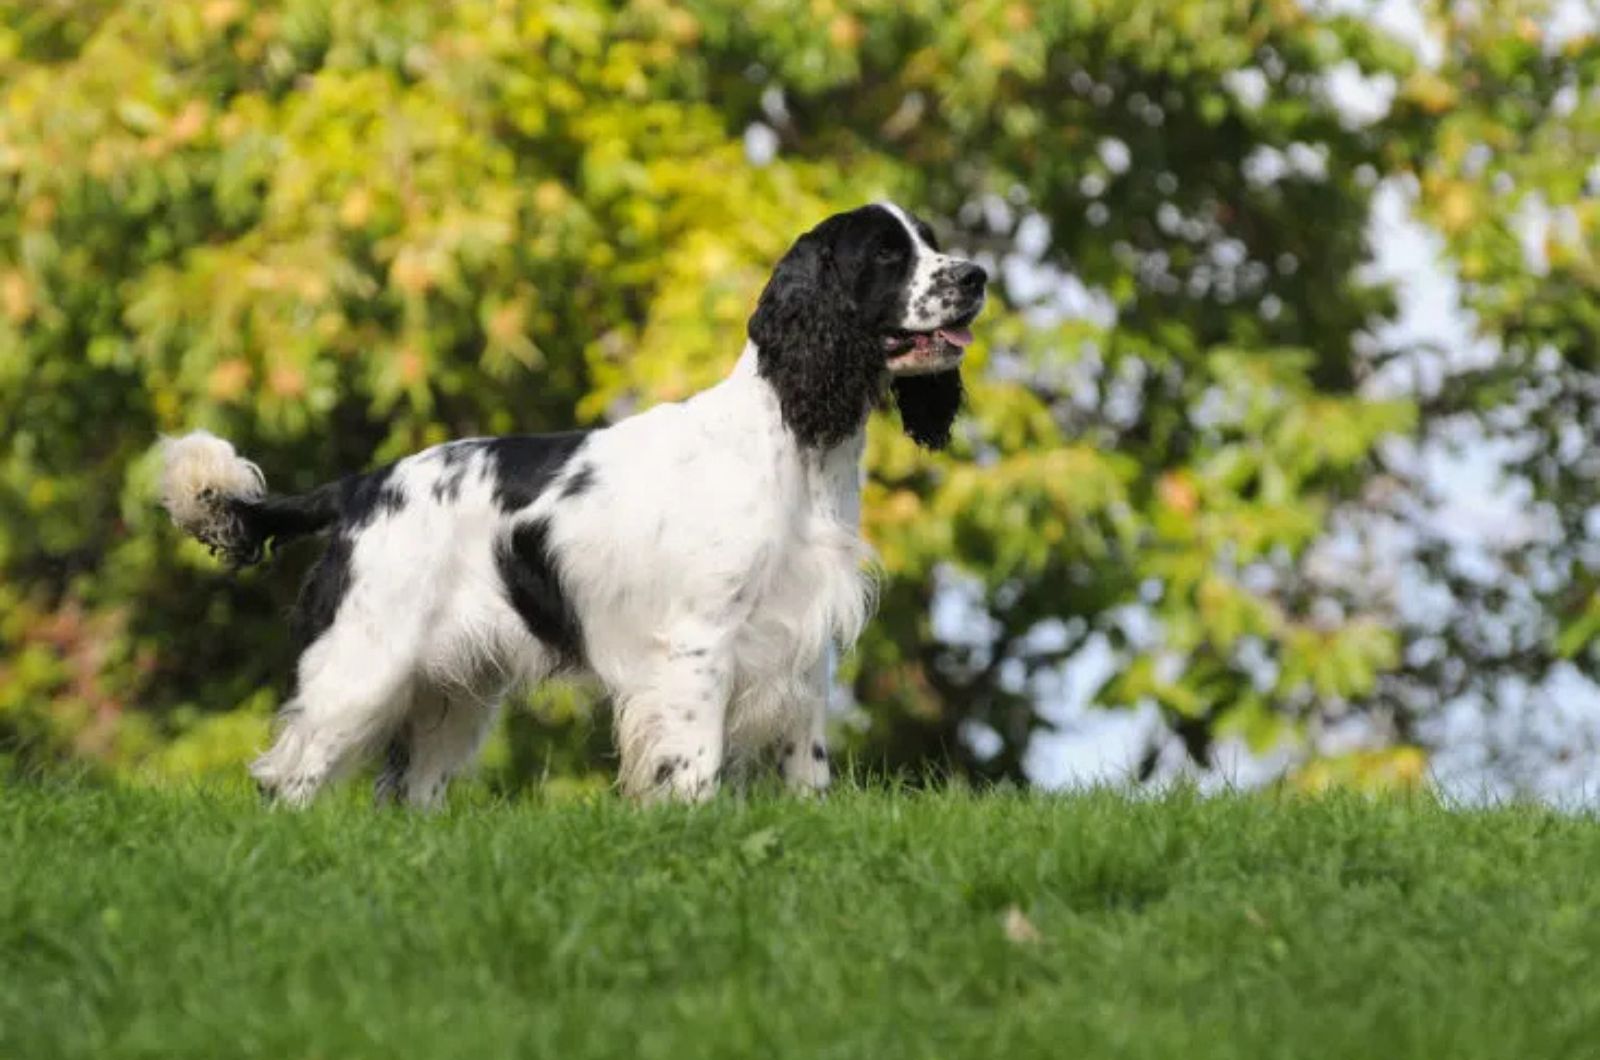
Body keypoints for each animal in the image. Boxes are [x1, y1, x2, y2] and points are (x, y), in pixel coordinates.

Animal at [165, 203, 985, 810]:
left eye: (930, 242)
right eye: (886, 254)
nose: (977, 276)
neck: (794, 446)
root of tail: (361, 488)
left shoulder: (805, 644)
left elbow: (806, 765)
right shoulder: (699, 643)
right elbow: (694, 764)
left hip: (452, 692)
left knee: (409, 791)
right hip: (362, 664)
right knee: (288, 778)